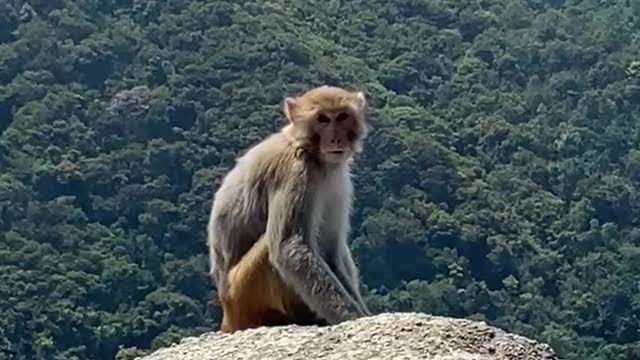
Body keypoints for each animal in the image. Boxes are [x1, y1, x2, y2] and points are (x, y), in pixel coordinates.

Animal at [208, 84, 372, 332]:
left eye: (342, 116)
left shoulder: (339, 183)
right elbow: (290, 247)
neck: (310, 150)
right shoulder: (296, 172)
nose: (335, 139)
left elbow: (331, 248)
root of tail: (226, 311)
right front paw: (353, 317)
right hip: (243, 292)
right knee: (273, 244)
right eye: (323, 119)